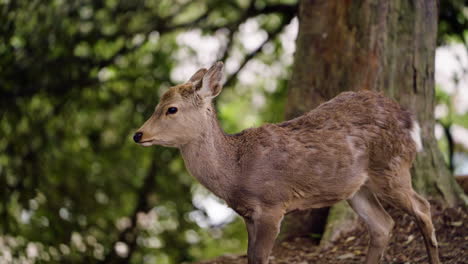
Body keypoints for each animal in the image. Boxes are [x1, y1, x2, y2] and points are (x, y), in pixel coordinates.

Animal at [133, 62, 440, 264]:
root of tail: (410, 120)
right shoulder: (248, 214)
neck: (236, 171)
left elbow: (259, 258)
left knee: (422, 207)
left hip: (392, 166)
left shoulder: (272, 204)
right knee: (382, 225)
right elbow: (250, 256)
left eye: (171, 109)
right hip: (357, 187)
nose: (138, 134)